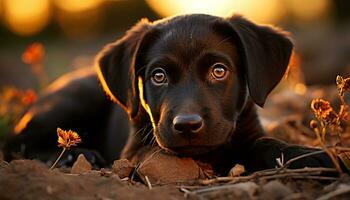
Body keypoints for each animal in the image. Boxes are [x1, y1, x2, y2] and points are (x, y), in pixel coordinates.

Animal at [3, 13, 336, 173]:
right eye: (158, 76)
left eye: (219, 71)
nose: (187, 125)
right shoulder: (137, 150)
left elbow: (260, 143)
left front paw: (304, 155)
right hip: (76, 99)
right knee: (16, 143)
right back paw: (76, 155)